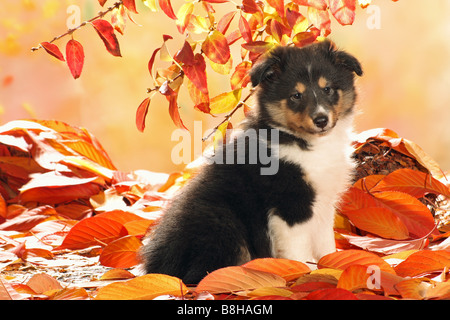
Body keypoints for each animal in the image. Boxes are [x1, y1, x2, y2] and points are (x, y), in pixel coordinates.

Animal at [142, 40, 364, 284]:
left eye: (328, 89)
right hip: (224, 223)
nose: (321, 120)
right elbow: (298, 251)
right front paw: (303, 273)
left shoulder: (324, 202)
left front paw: (332, 266)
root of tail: (159, 267)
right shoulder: (290, 206)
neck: (305, 142)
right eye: (296, 95)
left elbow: (325, 244)